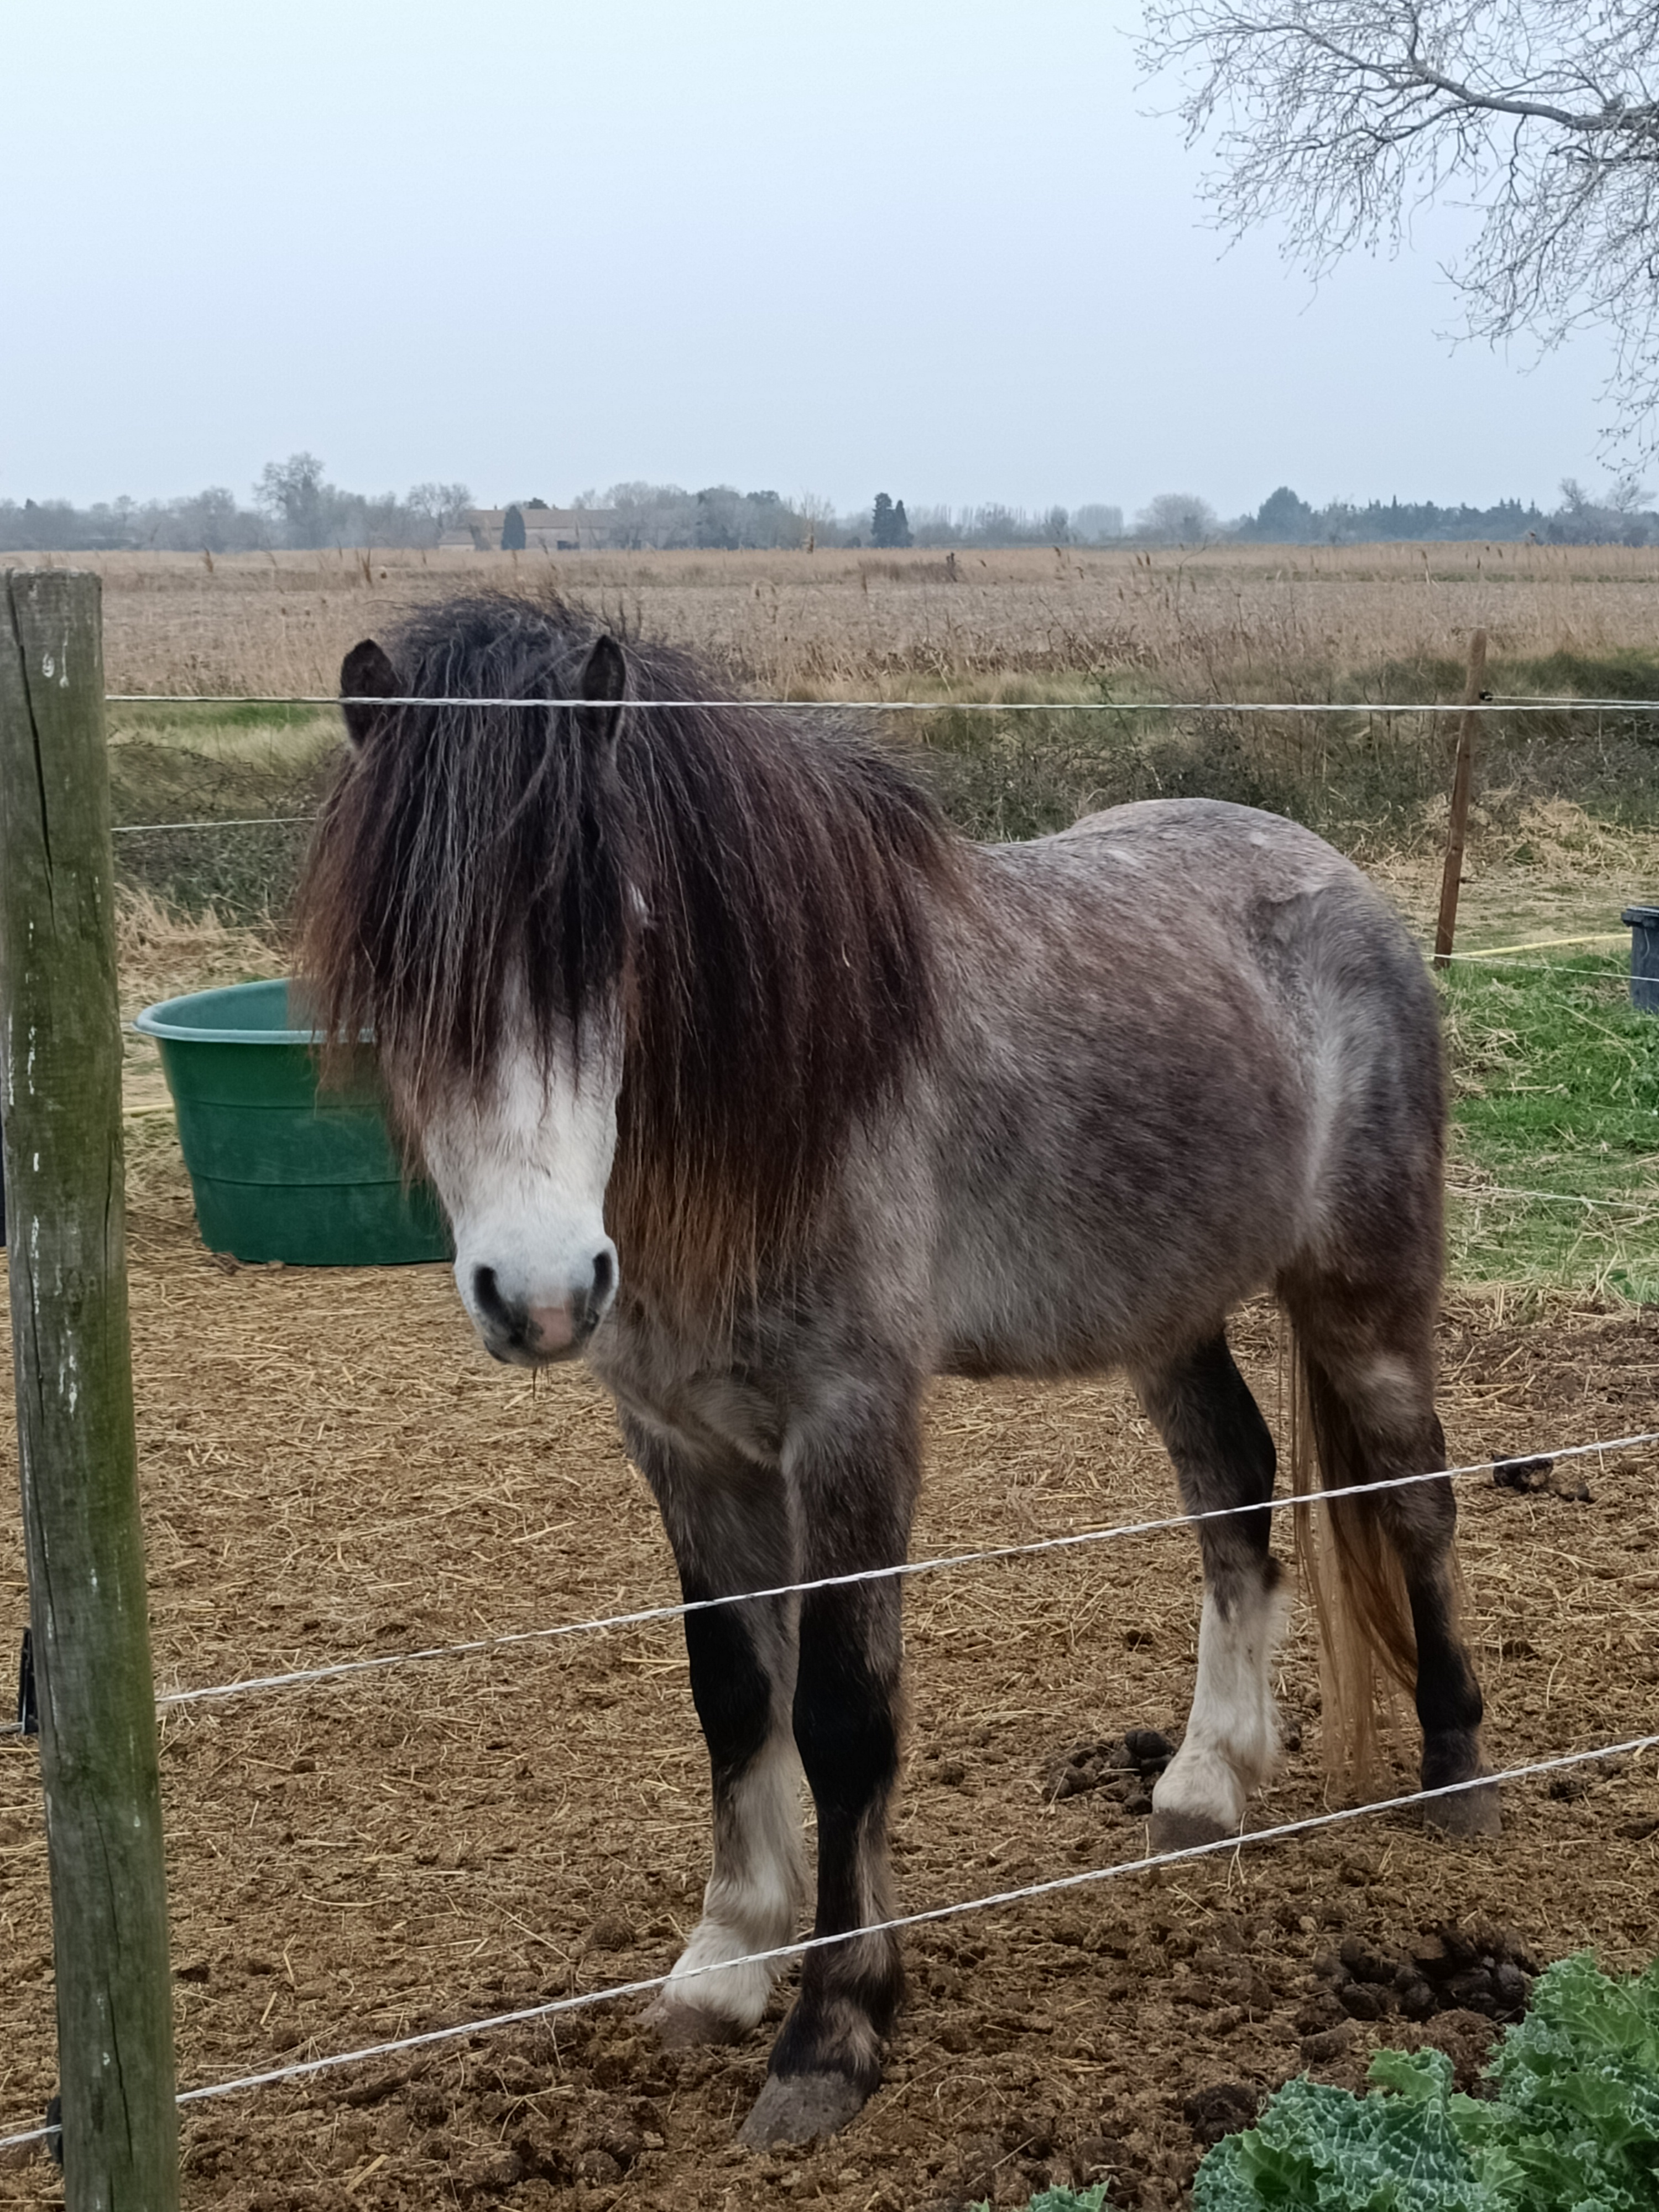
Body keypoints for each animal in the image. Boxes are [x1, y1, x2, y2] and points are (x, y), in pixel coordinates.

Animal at [296, 593, 1495, 2150]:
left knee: (1415, 1495)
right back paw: (1204, 1782)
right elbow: (732, 1696)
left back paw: (1457, 1772)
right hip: (1164, 1311)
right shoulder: (683, 1442)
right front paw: (724, 1961)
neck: (776, 1101)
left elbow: (843, 1716)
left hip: (1363, 1290)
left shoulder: (852, 1424)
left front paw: (832, 2029)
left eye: (618, 935)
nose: (544, 1289)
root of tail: (1338, 877)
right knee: (1232, 1490)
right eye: (397, 969)